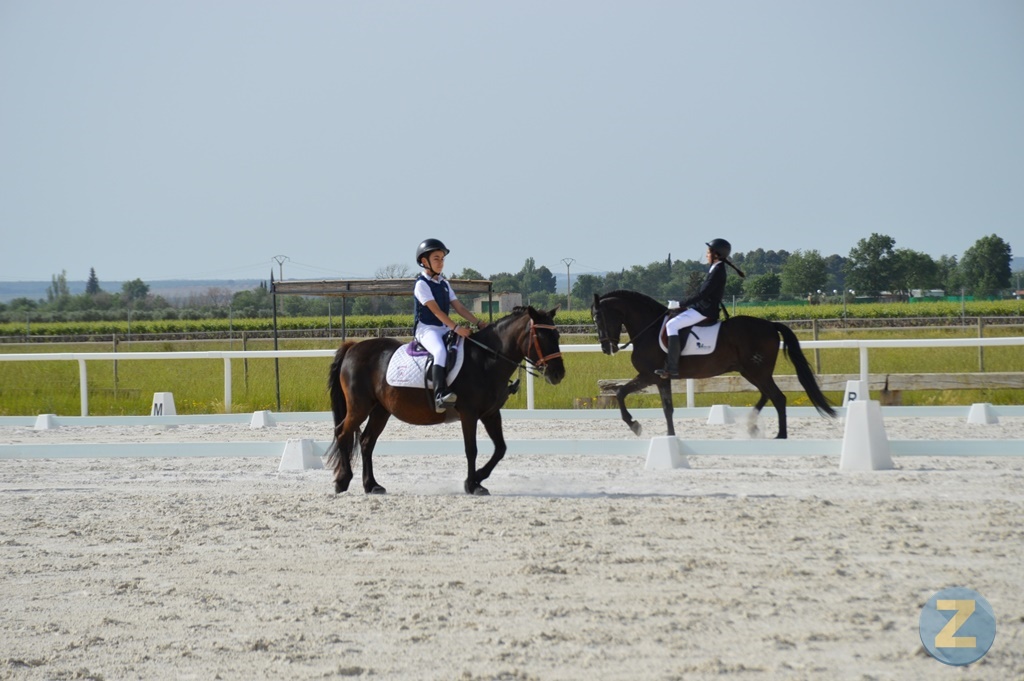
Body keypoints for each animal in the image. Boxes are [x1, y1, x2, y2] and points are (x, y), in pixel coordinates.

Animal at [326, 305, 566, 496]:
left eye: (557, 336)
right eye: (541, 337)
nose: (558, 374)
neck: (485, 360)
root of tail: (353, 347)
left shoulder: (490, 414)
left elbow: (500, 448)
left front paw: (479, 477)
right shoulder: (469, 414)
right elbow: (471, 449)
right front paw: (472, 484)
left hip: (380, 410)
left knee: (366, 442)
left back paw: (372, 485)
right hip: (360, 407)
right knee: (343, 433)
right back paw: (342, 481)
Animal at [591, 290, 836, 439]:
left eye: (600, 318)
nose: (606, 348)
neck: (649, 329)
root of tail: (770, 324)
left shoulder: (649, 375)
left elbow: (620, 392)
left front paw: (635, 425)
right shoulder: (661, 378)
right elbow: (667, 409)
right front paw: (670, 437)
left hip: (758, 371)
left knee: (778, 397)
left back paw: (780, 435)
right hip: (751, 372)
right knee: (767, 395)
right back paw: (752, 425)